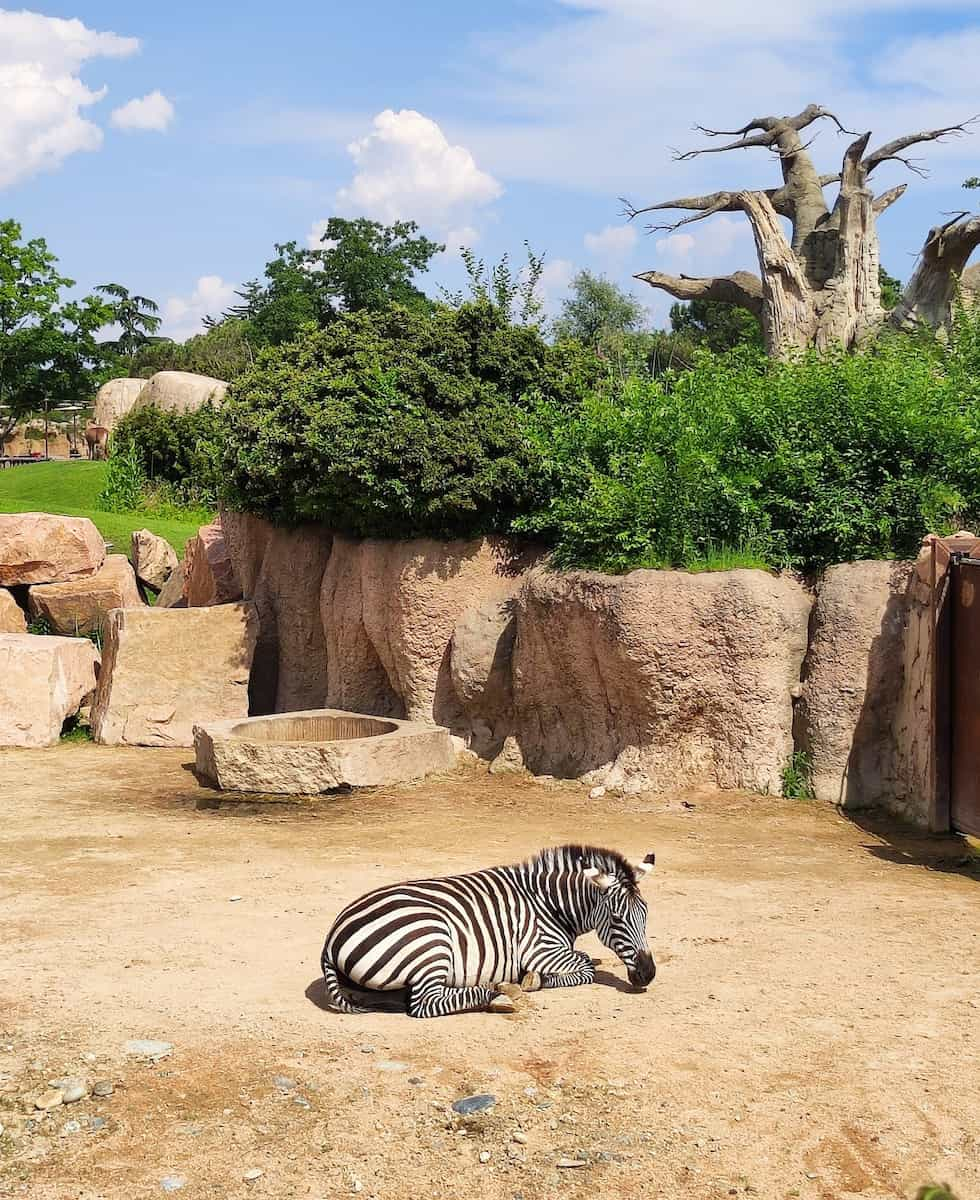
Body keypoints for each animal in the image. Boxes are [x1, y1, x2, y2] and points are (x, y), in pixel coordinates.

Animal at [321, 844, 657, 1022]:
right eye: (617, 918)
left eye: (646, 914)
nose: (648, 974)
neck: (547, 902)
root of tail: (331, 938)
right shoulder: (540, 950)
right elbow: (586, 965)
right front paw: (535, 980)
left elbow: (588, 961)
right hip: (432, 941)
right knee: (423, 1004)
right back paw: (498, 993)